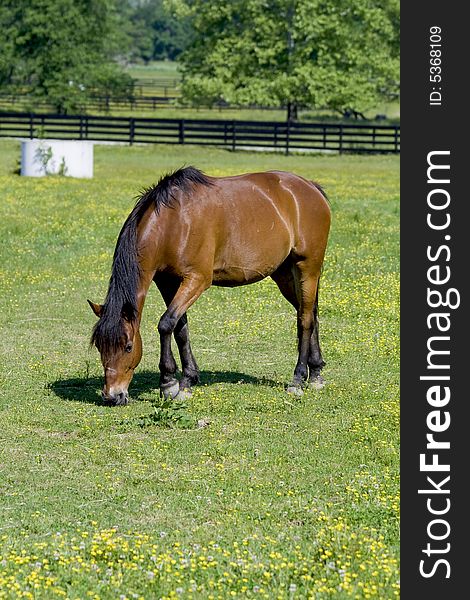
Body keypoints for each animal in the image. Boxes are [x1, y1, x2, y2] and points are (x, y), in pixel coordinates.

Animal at [88, 166, 330, 406]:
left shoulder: (197, 279)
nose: (112, 396)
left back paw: (298, 379)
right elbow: (180, 328)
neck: (173, 222)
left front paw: (168, 383)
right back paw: (316, 373)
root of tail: (311, 187)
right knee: (309, 313)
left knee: (305, 320)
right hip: (285, 274)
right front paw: (188, 379)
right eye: (99, 346)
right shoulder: (167, 282)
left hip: (307, 268)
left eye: (128, 346)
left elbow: (166, 324)